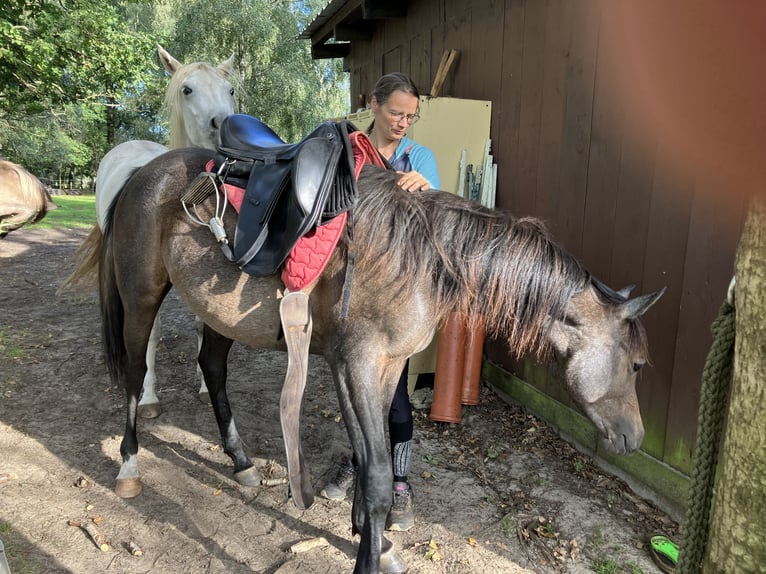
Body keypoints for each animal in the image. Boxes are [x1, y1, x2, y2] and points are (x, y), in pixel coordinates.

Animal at [85, 148, 664, 574]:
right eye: (637, 365)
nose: (635, 438)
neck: (422, 259)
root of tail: (141, 173)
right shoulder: (356, 364)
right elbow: (380, 474)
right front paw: (370, 552)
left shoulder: (386, 369)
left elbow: (373, 459)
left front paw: (373, 540)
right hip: (141, 297)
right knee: (135, 375)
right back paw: (129, 465)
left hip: (218, 315)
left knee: (212, 368)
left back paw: (242, 463)